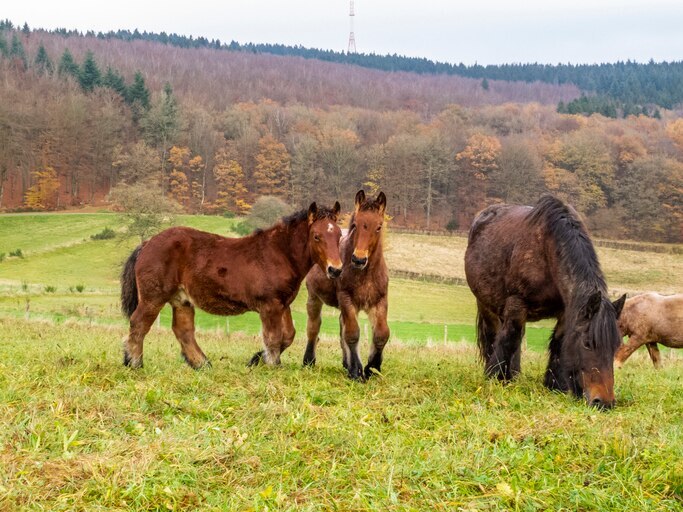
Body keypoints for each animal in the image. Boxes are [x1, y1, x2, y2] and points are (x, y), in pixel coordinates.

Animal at [120, 201, 343, 369]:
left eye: (339, 235)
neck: (279, 254)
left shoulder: (283, 304)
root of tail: (146, 244)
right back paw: (135, 363)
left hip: (181, 300)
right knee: (139, 323)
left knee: (183, 331)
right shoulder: (269, 305)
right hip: (153, 297)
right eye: (316, 236)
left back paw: (202, 364)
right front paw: (271, 365)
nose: (336, 270)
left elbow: (287, 336)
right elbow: (273, 338)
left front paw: (256, 359)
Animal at [304, 190, 389, 380]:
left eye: (379, 227)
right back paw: (308, 361)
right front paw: (357, 371)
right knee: (313, 327)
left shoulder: (380, 301)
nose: (359, 259)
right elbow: (352, 334)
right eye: (355, 225)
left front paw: (372, 368)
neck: (366, 274)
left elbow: (381, 334)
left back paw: (346, 364)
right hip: (314, 297)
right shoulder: (346, 299)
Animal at [464, 195, 626, 409]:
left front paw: (555, 385)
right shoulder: (517, 304)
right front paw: (495, 378)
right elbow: (508, 339)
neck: (547, 251)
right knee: (497, 336)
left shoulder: (565, 312)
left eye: (616, 346)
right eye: (587, 344)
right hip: (487, 306)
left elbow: (558, 344)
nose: (604, 403)